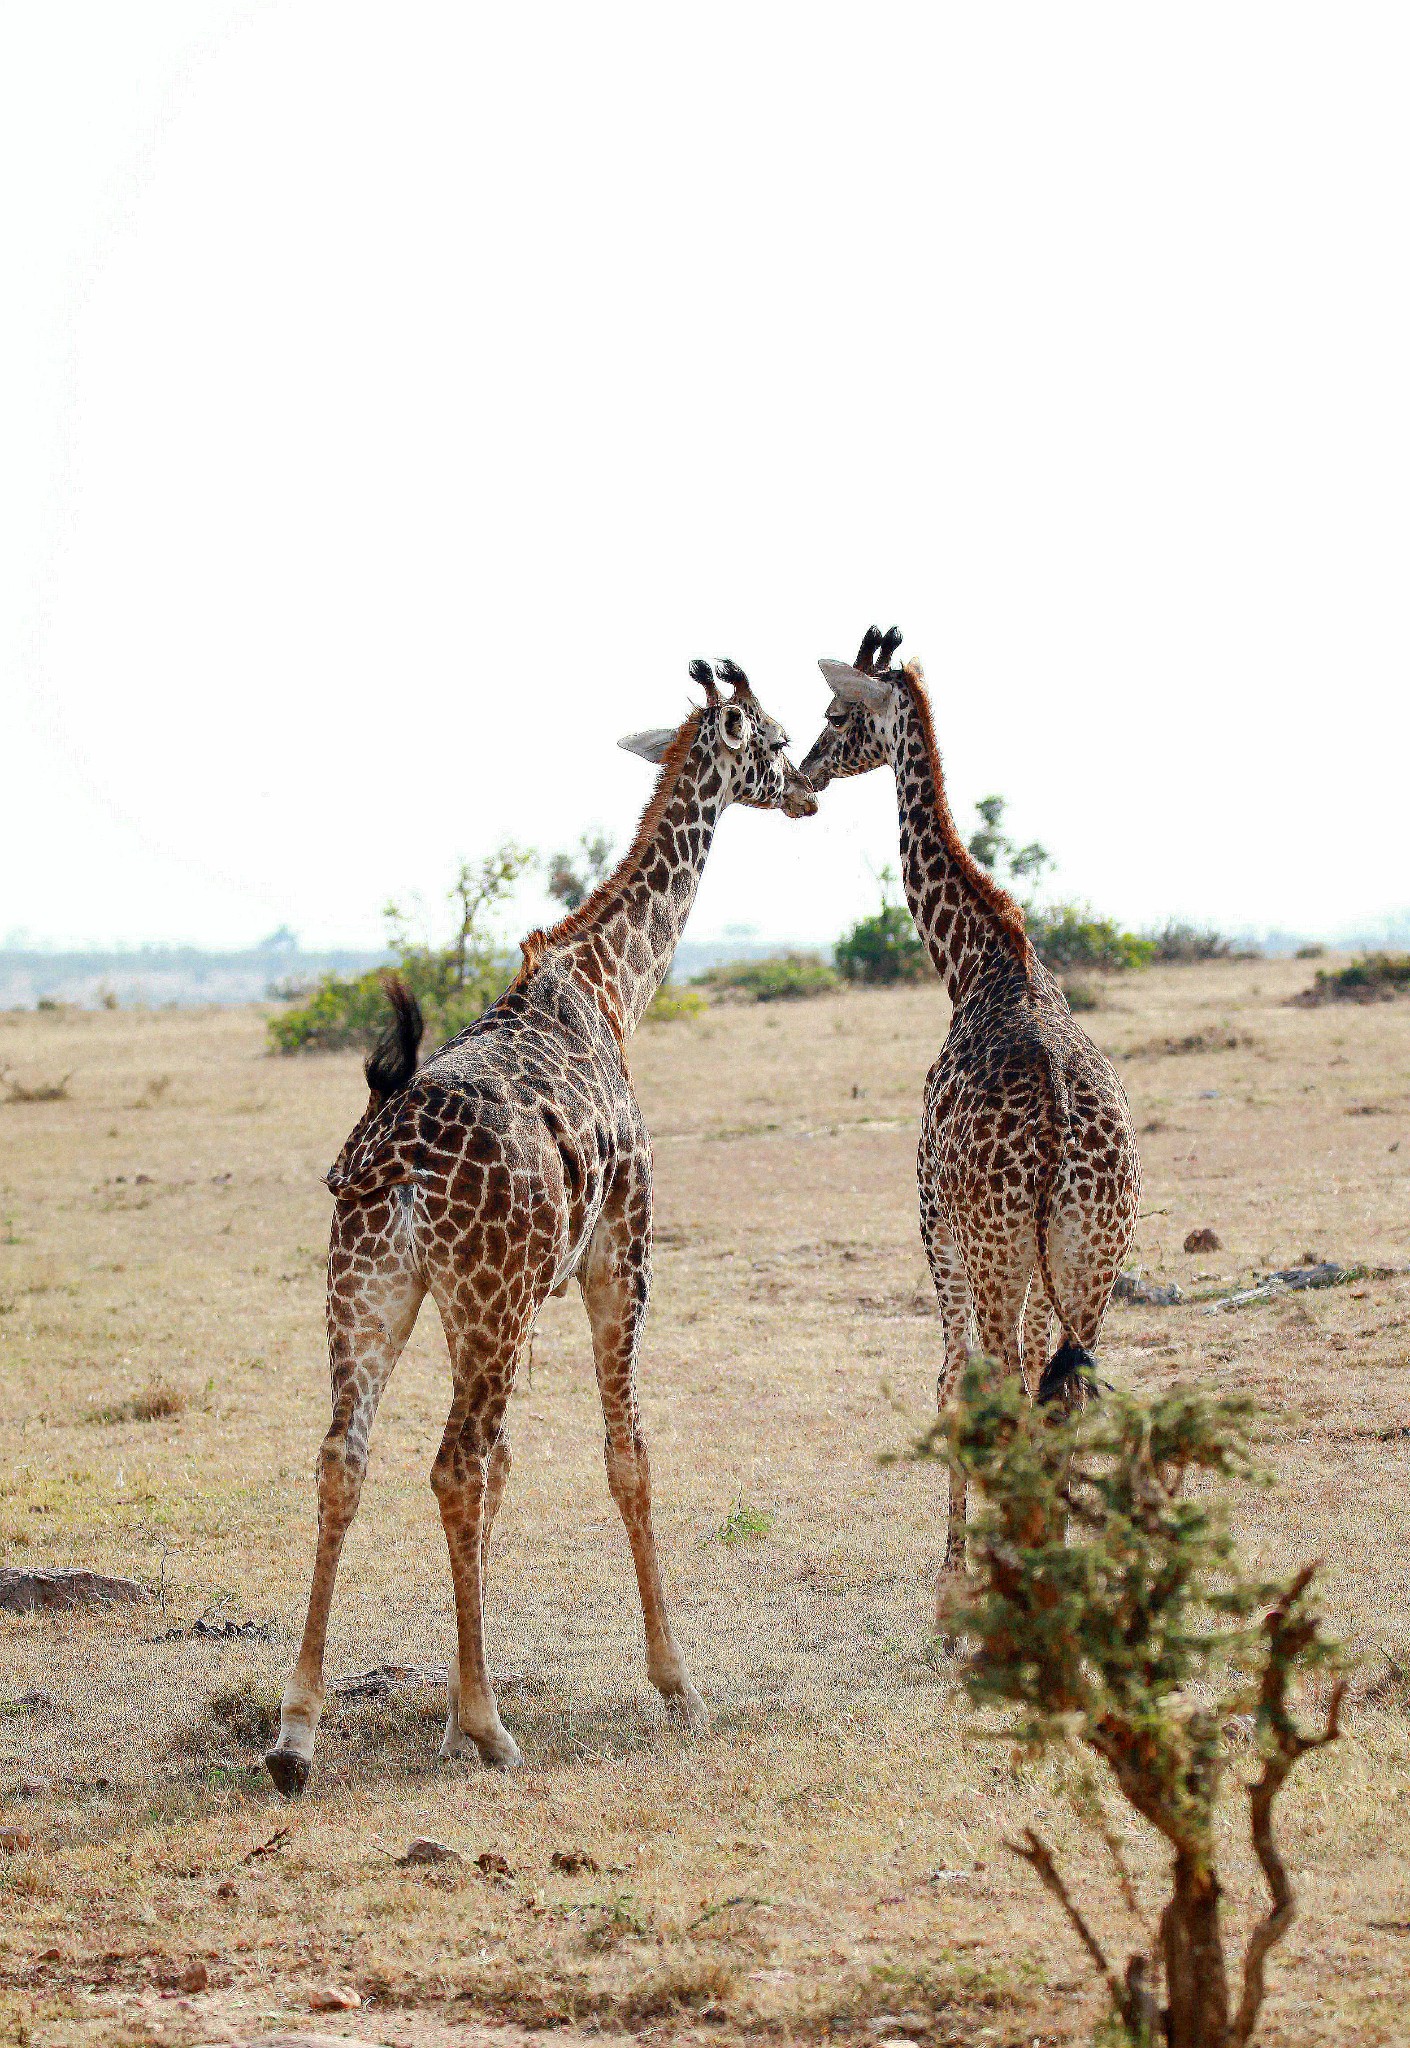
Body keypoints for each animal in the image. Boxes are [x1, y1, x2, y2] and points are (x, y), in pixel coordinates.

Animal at [264, 659, 815, 1794]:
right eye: (776, 737)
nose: (808, 788)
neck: (610, 988)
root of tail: (393, 1160)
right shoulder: (620, 1254)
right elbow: (627, 1453)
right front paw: (675, 1687)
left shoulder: (508, 1290)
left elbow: (514, 1470)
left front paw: (451, 1709)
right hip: (489, 1296)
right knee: (451, 1462)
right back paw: (491, 1728)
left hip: (372, 1290)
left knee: (348, 1456)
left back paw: (297, 1733)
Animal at [799, 622, 1139, 1597]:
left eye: (837, 714)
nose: (802, 773)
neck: (981, 962)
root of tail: (1061, 1130)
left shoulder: (934, 1227)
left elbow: (948, 1381)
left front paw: (951, 1576)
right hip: (1089, 1258)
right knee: (1063, 1394)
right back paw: (1053, 1571)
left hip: (994, 1253)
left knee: (1005, 1391)